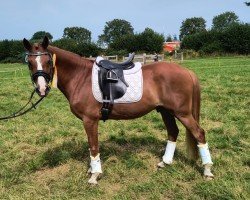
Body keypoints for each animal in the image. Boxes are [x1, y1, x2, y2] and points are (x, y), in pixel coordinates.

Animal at [23, 36, 214, 184]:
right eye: (30, 63)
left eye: (48, 61)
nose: (41, 88)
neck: (81, 77)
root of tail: (187, 71)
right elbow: (91, 146)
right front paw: (92, 169)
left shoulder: (90, 120)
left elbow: (93, 146)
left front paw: (94, 175)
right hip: (166, 110)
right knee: (173, 132)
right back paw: (164, 162)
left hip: (183, 113)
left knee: (199, 133)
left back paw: (207, 170)